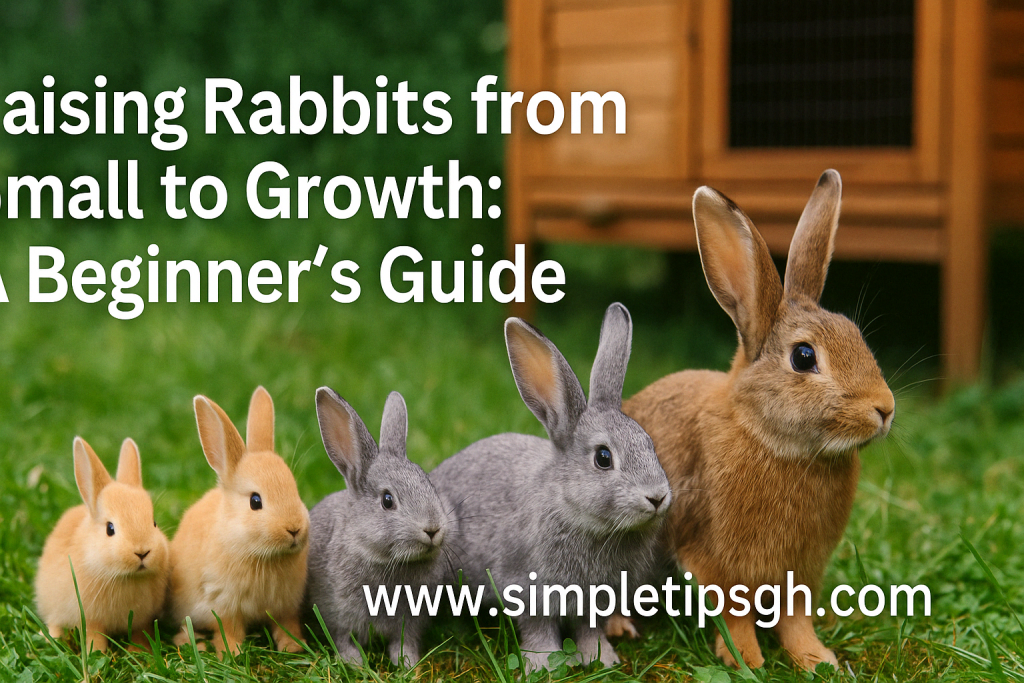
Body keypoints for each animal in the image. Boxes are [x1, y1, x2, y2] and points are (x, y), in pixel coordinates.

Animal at [35, 436, 169, 653]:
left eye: (154, 523)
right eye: (110, 529)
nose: (142, 552)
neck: (126, 577)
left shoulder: (143, 621)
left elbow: (140, 633)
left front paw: (141, 652)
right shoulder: (91, 619)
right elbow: (94, 636)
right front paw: (96, 653)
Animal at [167, 386, 310, 655]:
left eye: (295, 490)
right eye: (255, 501)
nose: (294, 529)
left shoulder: (286, 603)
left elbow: (286, 624)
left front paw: (293, 646)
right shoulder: (223, 602)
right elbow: (229, 628)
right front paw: (231, 652)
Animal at [305, 389, 452, 668]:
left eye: (428, 483)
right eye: (387, 500)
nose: (433, 529)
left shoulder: (410, 623)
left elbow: (404, 641)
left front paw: (408, 663)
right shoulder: (337, 615)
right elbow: (342, 639)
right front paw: (355, 663)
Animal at [429, 302, 672, 671]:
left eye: (650, 444)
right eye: (603, 458)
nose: (657, 497)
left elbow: (589, 629)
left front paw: (602, 658)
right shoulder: (527, 588)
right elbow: (538, 628)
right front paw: (544, 664)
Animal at [620, 170, 895, 671]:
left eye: (855, 335)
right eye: (804, 357)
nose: (884, 408)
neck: (774, 443)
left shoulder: (801, 572)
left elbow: (795, 618)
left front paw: (817, 659)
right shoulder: (713, 559)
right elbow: (734, 614)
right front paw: (745, 660)